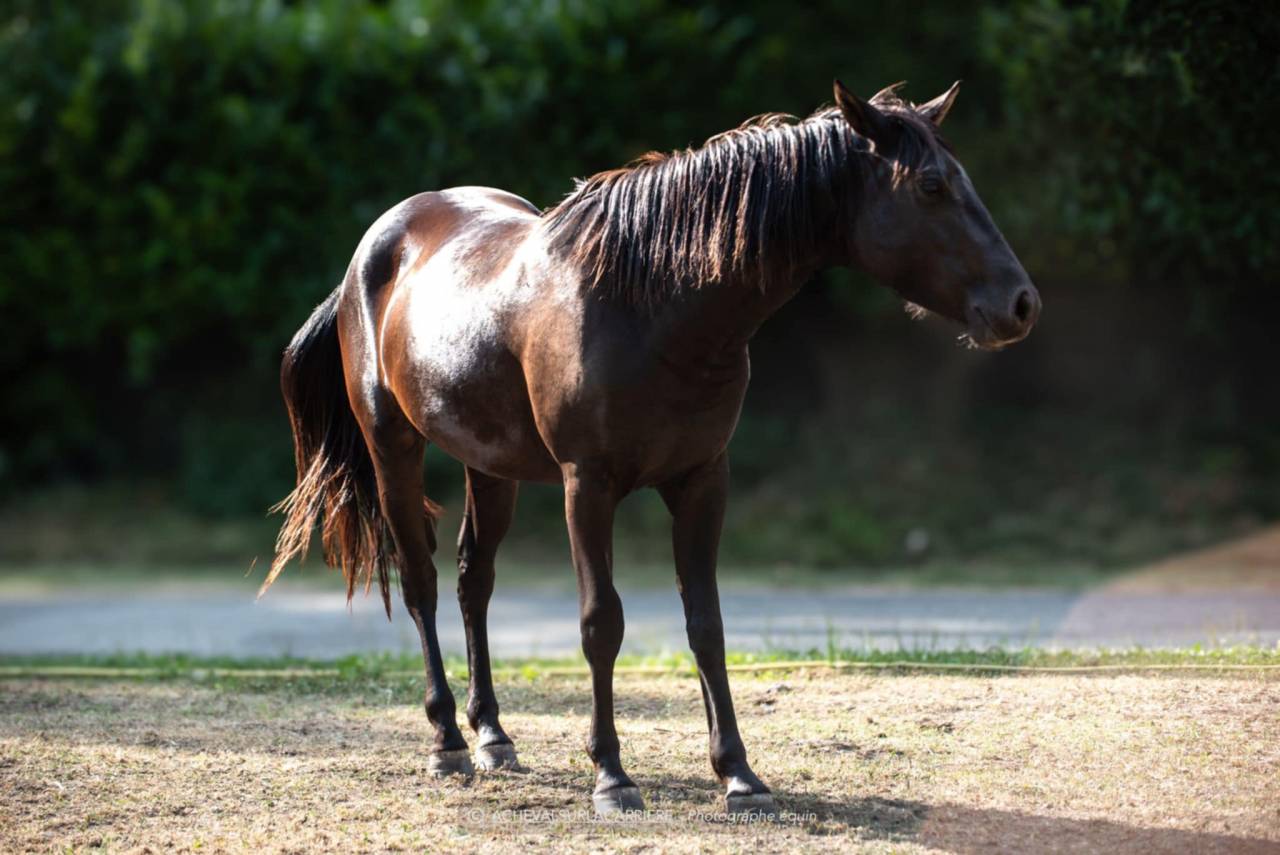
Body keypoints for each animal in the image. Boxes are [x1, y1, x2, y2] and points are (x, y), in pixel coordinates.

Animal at [263, 79, 1040, 817]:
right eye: (931, 186)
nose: (1022, 303)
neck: (653, 305)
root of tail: (373, 250)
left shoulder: (702, 480)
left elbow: (707, 623)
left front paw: (740, 775)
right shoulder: (588, 485)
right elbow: (601, 622)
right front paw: (611, 775)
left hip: (490, 466)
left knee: (471, 580)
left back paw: (493, 735)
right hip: (392, 447)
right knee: (421, 581)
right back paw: (448, 739)